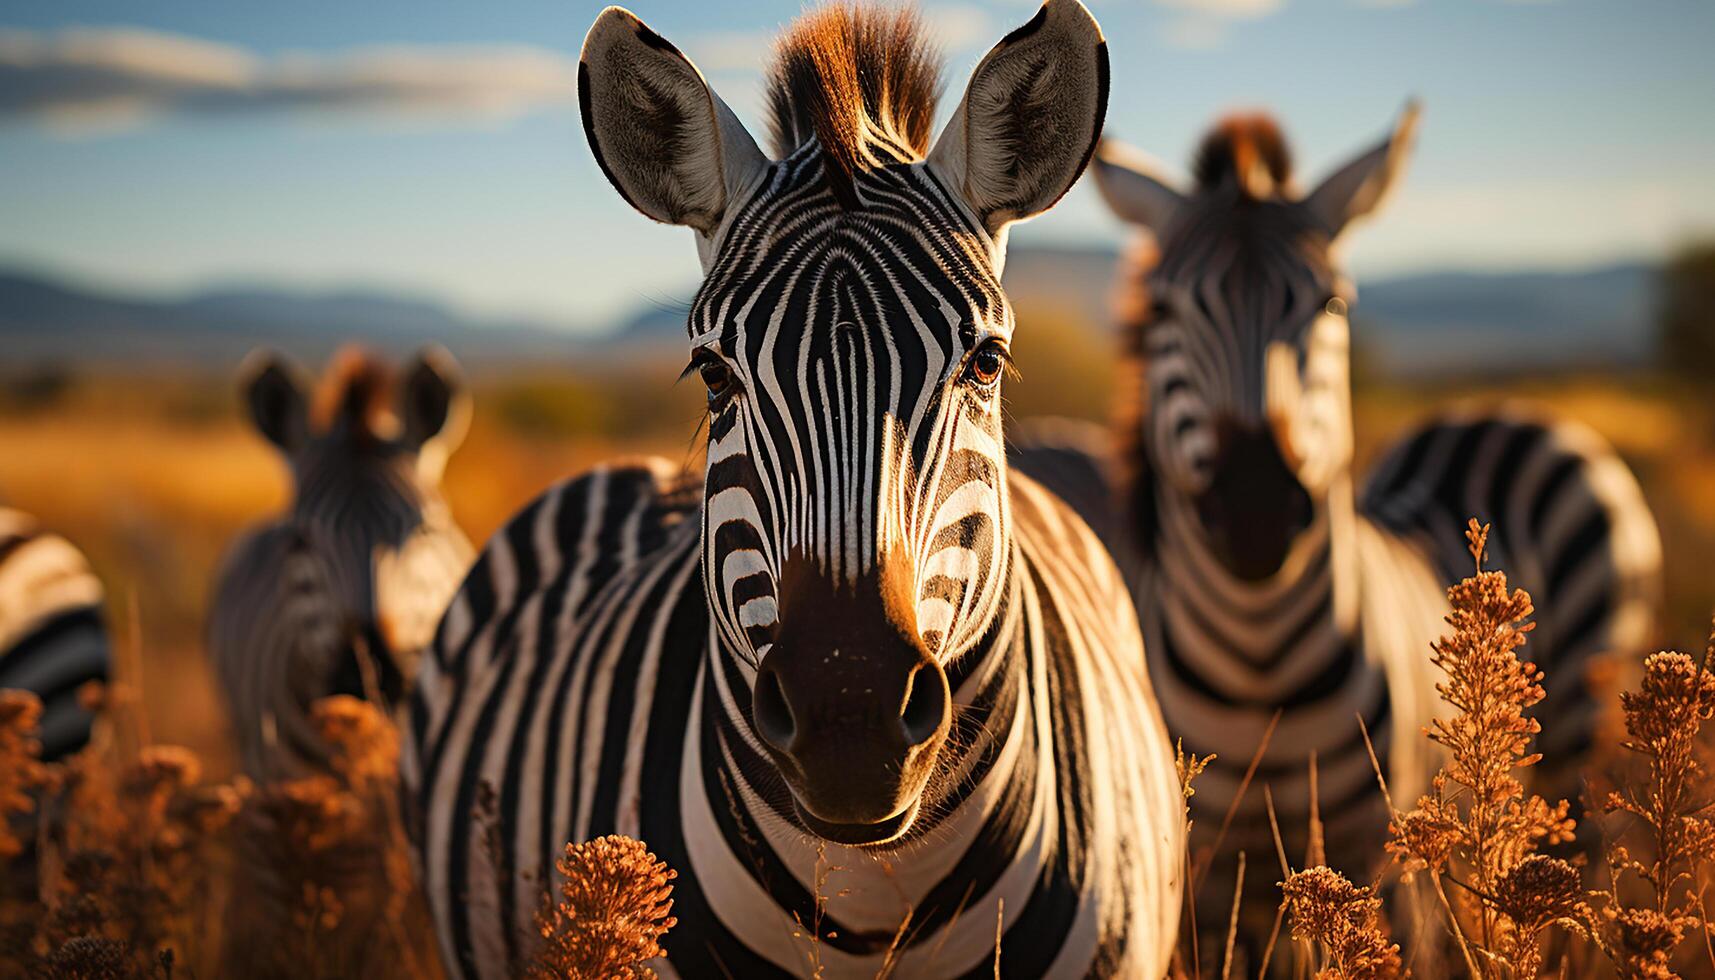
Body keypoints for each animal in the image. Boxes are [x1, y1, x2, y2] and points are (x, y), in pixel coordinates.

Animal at [1008, 109, 1653, 926]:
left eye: (1332, 304)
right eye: (1161, 310)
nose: (1255, 514)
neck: (1261, 677)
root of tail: (1502, 411)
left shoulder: (1390, 857)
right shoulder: (1205, 869)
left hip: (1581, 722)